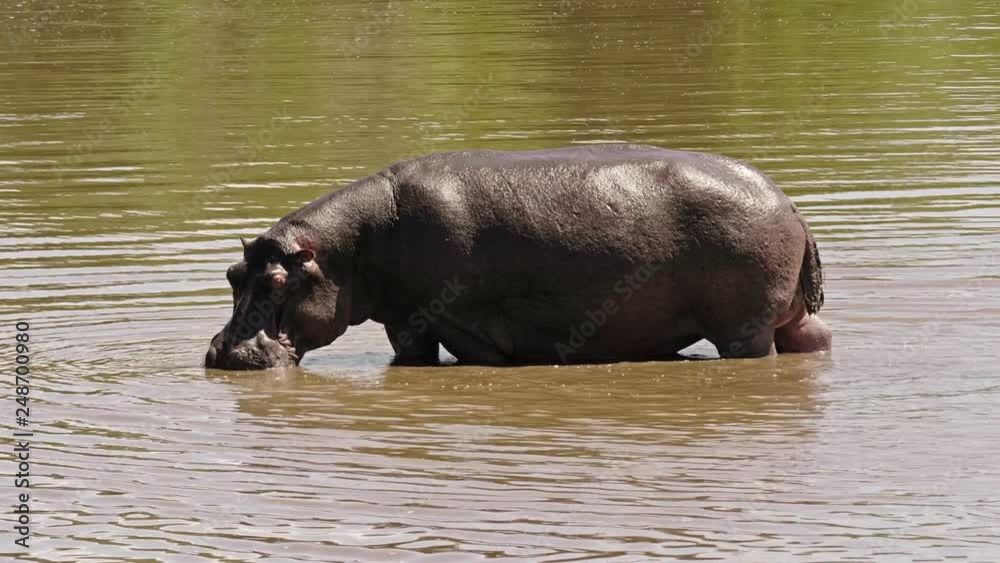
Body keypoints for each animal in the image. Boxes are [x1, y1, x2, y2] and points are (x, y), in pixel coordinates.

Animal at [204, 144, 831, 370]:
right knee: (813, 340)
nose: (222, 352)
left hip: (743, 329)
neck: (347, 250)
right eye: (233, 274)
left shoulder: (459, 323)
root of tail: (791, 206)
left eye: (278, 282)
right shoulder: (405, 322)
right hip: (791, 318)